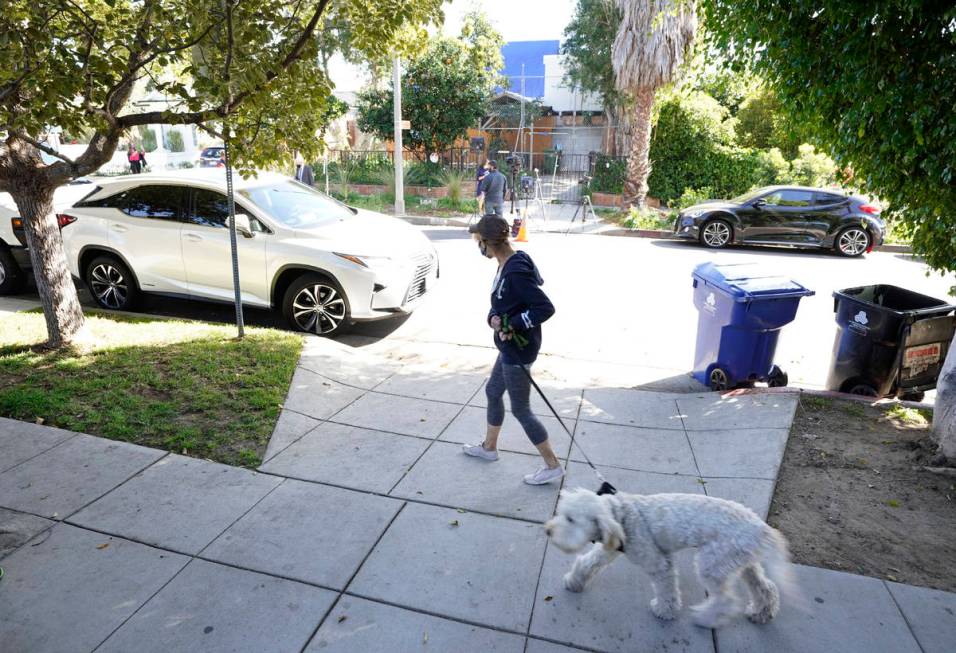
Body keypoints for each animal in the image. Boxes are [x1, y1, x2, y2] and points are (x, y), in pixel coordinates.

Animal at [544, 486, 792, 628]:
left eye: (571, 519)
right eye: (561, 514)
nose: (547, 530)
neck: (622, 515)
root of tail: (761, 527)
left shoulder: (659, 563)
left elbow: (666, 590)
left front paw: (664, 611)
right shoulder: (609, 549)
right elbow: (587, 563)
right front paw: (574, 582)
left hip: (712, 564)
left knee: (726, 600)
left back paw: (705, 619)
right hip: (742, 563)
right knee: (766, 587)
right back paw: (762, 613)